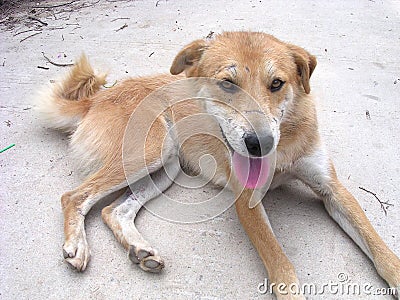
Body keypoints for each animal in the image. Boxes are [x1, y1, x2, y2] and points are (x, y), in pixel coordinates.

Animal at [35, 31, 400, 298]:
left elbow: (379, 247)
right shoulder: (247, 200)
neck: (283, 150)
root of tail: (97, 98)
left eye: (277, 83)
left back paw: (141, 249)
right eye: (227, 83)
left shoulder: (332, 190)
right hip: (151, 151)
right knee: (74, 196)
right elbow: (281, 265)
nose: (259, 144)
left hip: (166, 166)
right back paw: (77, 245)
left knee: (114, 211)